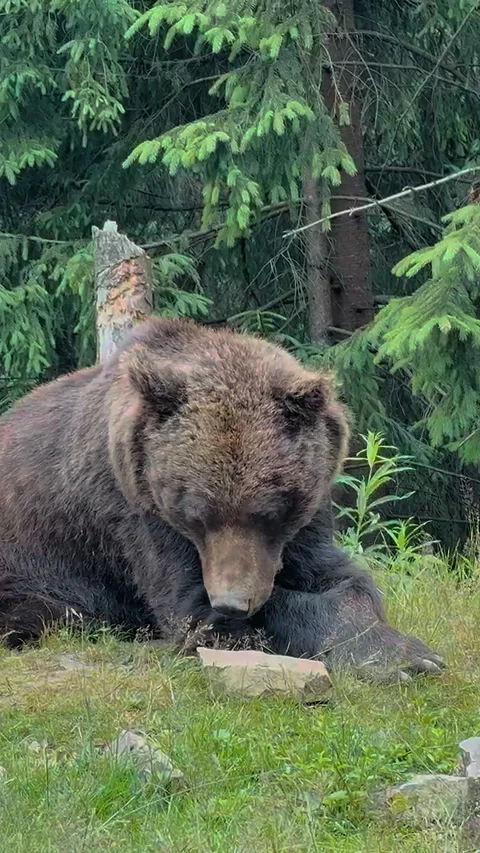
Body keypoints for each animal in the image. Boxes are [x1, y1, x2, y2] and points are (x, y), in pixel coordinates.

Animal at [0, 317, 443, 680]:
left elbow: (343, 579)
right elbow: (192, 608)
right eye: (196, 514)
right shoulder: (137, 511)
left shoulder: (308, 514)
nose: (233, 602)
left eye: (269, 512)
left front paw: (403, 650)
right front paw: (403, 658)